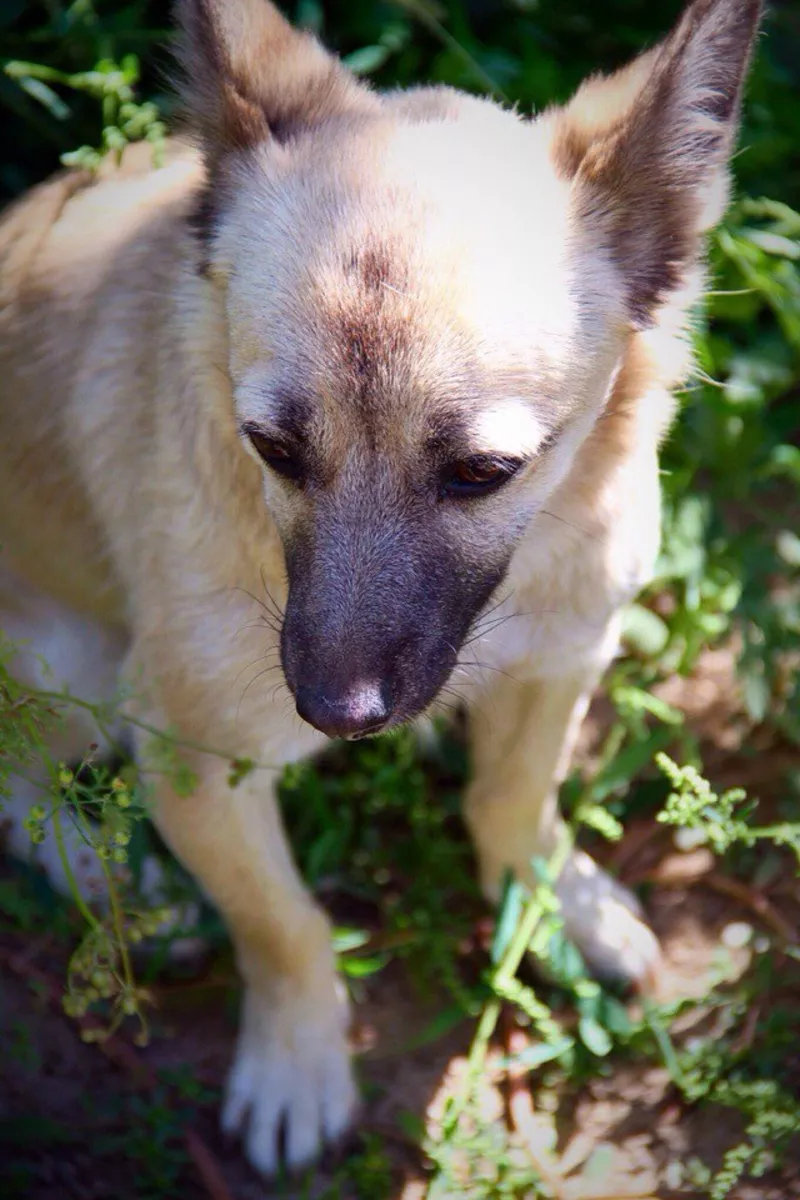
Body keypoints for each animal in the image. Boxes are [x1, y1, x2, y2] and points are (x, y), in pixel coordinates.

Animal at [0, 0, 762, 1176]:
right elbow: (284, 926)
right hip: (64, 659)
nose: (335, 714)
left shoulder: (566, 655)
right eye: (269, 447)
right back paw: (121, 891)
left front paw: (557, 901)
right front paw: (297, 1060)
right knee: (21, 793)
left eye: (483, 472)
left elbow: (511, 798)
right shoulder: (189, 759)